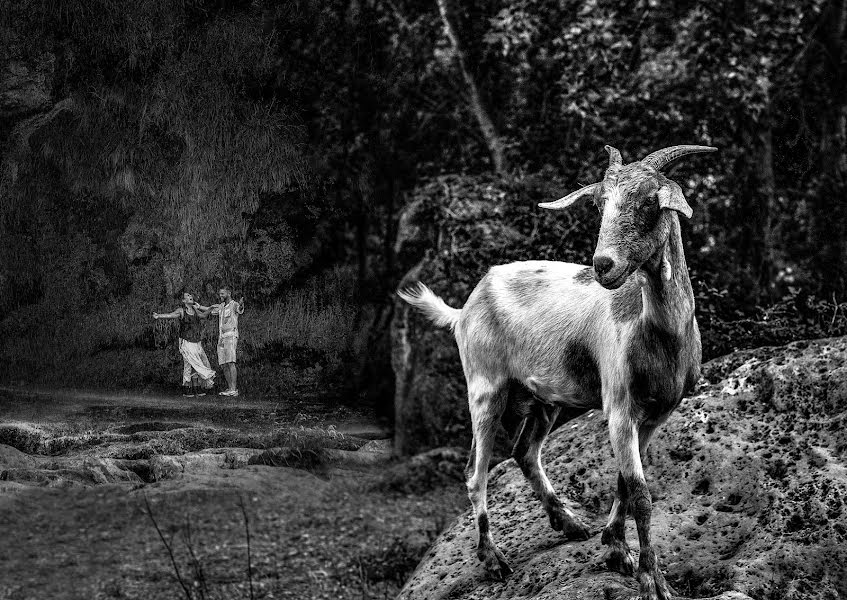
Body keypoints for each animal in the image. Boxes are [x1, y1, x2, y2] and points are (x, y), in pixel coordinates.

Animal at [398, 145, 716, 600]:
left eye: (648, 204)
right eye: (600, 204)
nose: (603, 265)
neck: (660, 332)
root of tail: (462, 310)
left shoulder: (658, 412)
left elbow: (624, 483)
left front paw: (615, 548)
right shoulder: (619, 406)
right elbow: (640, 493)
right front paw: (651, 580)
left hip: (541, 397)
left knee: (524, 452)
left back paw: (568, 523)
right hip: (485, 387)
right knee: (475, 471)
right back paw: (493, 559)